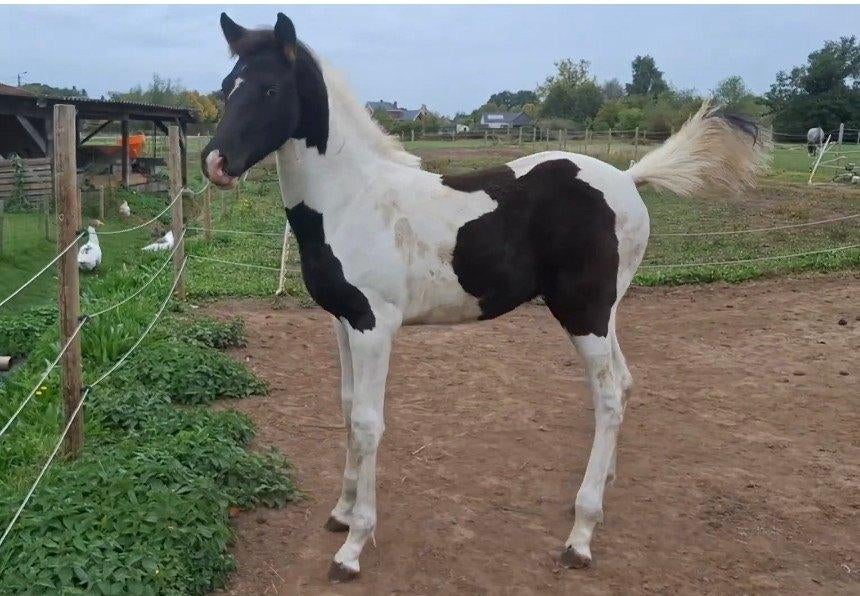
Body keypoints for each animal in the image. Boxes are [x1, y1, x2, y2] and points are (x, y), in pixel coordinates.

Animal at [202, 13, 772, 581]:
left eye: (270, 89)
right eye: (226, 86)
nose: (215, 163)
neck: (352, 200)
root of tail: (629, 178)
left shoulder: (373, 327)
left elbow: (368, 424)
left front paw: (354, 545)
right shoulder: (341, 322)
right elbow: (346, 411)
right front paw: (340, 513)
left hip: (583, 311)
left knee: (608, 397)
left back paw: (581, 534)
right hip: (605, 312)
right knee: (625, 382)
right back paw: (603, 488)